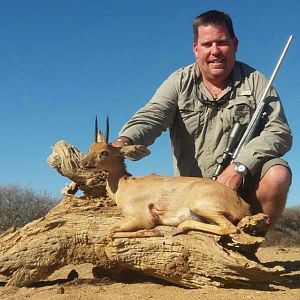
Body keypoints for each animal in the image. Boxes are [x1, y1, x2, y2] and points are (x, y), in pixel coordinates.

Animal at [81, 119, 251, 237]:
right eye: (90, 148)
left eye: (104, 152)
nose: (84, 163)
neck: (123, 185)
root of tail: (244, 205)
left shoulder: (142, 219)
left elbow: (110, 231)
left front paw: (153, 232)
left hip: (201, 207)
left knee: (230, 228)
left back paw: (180, 227)